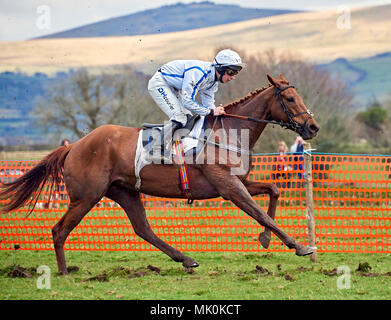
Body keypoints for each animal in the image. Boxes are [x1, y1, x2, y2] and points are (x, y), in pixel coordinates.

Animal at [0, 74, 320, 274]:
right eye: (291, 99)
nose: (313, 127)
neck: (228, 131)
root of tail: (74, 145)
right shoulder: (228, 186)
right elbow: (261, 212)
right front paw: (300, 246)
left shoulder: (238, 181)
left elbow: (273, 191)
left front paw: (266, 238)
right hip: (86, 196)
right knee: (59, 230)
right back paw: (64, 271)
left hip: (124, 192)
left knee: (143, 228)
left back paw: (186, 259)